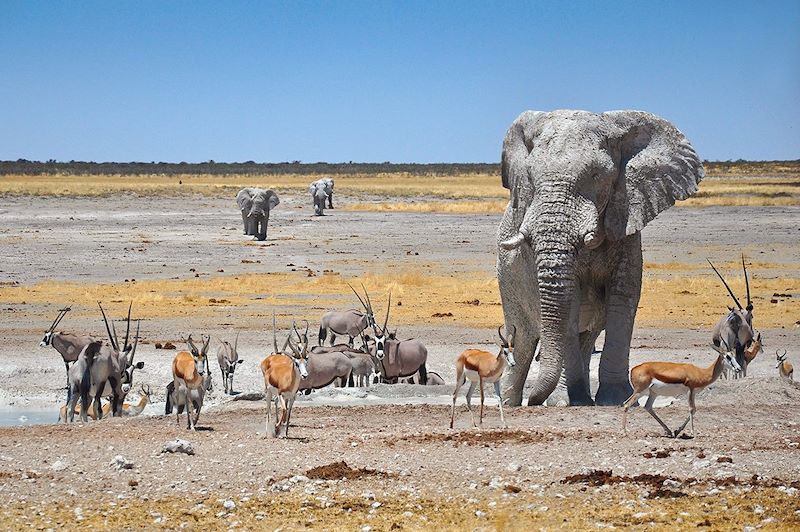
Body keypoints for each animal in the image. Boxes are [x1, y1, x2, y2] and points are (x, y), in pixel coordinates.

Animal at [496, 108, 704, 408]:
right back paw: (511, 402)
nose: (534, 401)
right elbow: (570, 303)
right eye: (531, 177)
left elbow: (624, 296)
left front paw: (616, 399)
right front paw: (564, 401)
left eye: (596, 175)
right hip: (507, 281)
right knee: (524, 338)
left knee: (585, 335)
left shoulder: (627, 218)